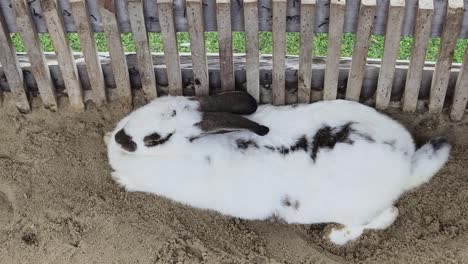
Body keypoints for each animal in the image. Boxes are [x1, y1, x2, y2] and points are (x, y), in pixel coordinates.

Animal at [105, 91, 450, 245]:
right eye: (149, 104)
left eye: (153, 139)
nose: (120, 137)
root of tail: (405, 162)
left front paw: (119, 178)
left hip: (355, 209)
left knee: (383, 217)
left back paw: (334, 235)